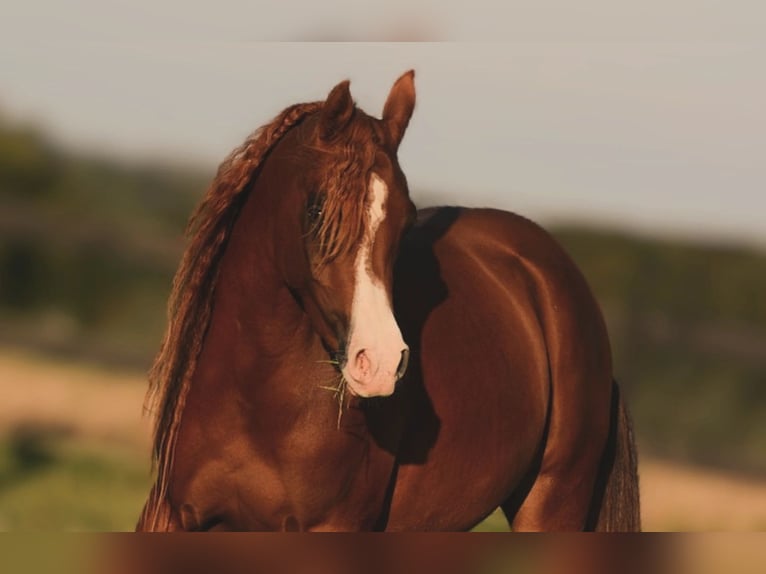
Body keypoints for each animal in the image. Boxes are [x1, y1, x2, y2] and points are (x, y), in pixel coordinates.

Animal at [136, 72, 640, 536]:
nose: (379, 363)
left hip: (551, 505)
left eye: (406, 217)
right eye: (316, 209)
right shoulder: (171, 516)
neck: (255, 399)